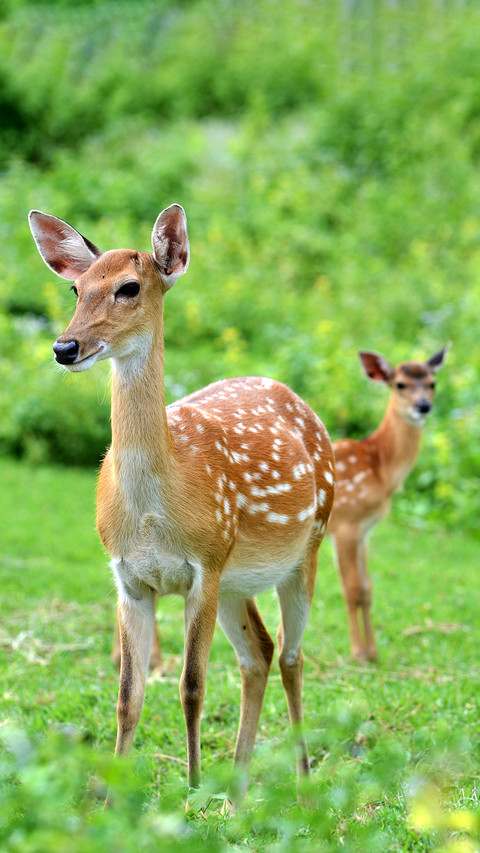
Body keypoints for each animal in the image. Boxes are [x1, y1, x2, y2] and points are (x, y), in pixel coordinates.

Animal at [28, 204, 336, 806]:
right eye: (75, 288)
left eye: (128, 287)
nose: (64, 348)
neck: (156, 512)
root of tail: (297, 398)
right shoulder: (128, 578)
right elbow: (128, 694)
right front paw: (114, 799)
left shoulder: (204, 566)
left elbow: (191, 687)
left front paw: (192, 793)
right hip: (239, 580)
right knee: (259, 653)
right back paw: (237, 789)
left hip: (306, 545)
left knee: (291, 655)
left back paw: (304, 782)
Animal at [327, 346, 449, 663]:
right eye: (400, 384)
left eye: (432, 383)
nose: (422, 406)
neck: (380, 468)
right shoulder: (346, 523)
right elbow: (351, 589)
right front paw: (358, 655)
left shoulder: (364, 530)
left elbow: (367, 589)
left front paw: (373, 654)